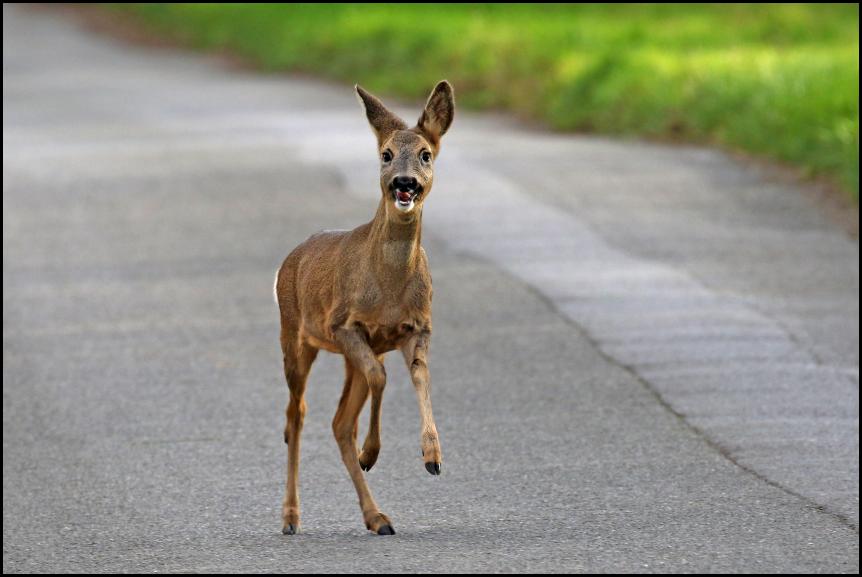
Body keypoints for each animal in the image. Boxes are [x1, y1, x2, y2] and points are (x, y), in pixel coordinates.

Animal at [273, 80, 454, 536]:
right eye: (386, 154)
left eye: (426, 153)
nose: (404, 183)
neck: (388, 291)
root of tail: (289, 258)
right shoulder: (345, 326)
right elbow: (381, 377)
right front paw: (372, 453)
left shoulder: (417, 328)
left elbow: (418, 377)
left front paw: (432, 457)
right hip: (294, 336)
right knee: (295, 414)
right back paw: (290, 517)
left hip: (343, 354)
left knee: (339, 423)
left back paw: (378, 518)